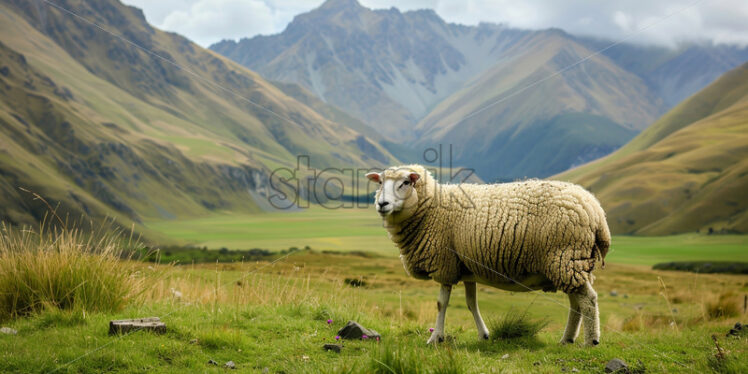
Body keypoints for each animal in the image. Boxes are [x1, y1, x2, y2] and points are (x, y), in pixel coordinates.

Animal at [366, 165, 612, 346]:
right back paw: (567, 338)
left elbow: (441, 303)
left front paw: (436, 337)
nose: (381, 204)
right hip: (570, 263)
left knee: (588, 300)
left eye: (405, 182)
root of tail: (597, 211)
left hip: (564, 257)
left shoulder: (445, 264)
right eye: (380, 183)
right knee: (576, 302)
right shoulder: (466, 267)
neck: (432, 208)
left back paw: (591, 341)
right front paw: (483, 335)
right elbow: (471, 303)